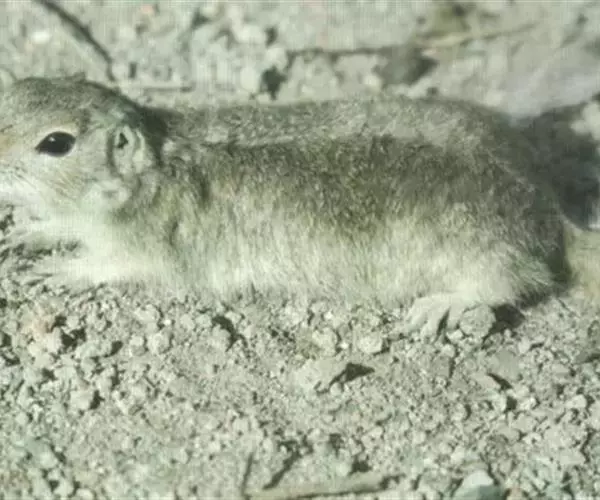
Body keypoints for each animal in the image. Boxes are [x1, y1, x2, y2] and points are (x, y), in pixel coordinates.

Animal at [0, 74, 599, 335]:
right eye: (13, 94)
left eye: (56, 143)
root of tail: (547, 206)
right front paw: (29, 232)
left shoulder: (150, 242)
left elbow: (114, 264)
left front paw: (60, 268)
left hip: (479, 251)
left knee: (510, 282)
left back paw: (443, 304)